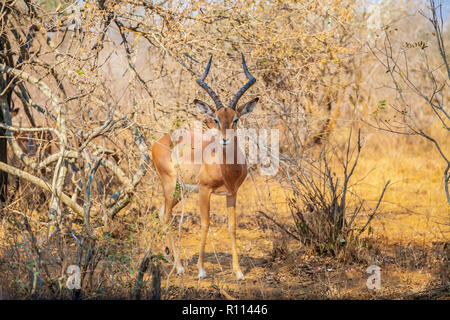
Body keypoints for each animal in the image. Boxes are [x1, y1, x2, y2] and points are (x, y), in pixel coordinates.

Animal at [152, 55, 258, 280]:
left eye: (236, 119)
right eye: (216, 119)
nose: (225, 139)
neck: (225, 169)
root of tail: (158, 141)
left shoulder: (232, 193)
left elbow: (232, 226)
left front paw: (238, 272)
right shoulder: (204, 191)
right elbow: (205, 223)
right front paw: (201, 270)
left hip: (179, 192)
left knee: (162, 211)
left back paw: (168, 257)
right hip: (170, 186)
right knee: (167, 217)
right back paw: (179, 267)